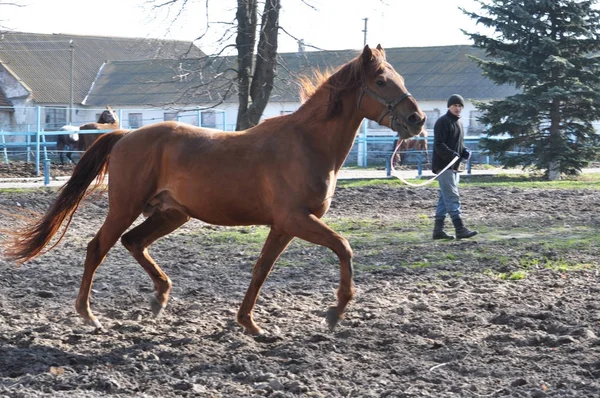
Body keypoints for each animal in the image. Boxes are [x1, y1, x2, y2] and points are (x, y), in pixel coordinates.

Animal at [4, 44, 426, 336]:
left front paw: (250, 324)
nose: (417, 119)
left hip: (172, 213)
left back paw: (159, 298)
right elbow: (344, 247)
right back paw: (89, 316)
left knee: (133, 242)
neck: (306, 143)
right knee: (98, 247)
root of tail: (124, 136)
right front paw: (335, 312)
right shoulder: (296, 219)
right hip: (126, 206)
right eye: (381, 81)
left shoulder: (283, 225)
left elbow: (261, 269)